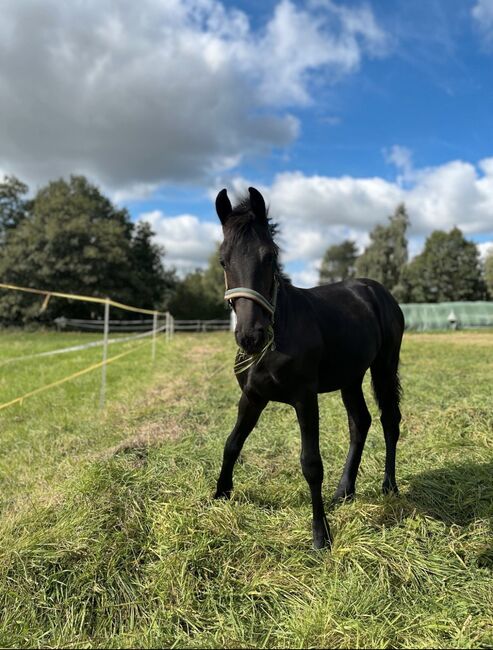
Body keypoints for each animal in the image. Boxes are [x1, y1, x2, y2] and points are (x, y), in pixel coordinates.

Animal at [213, 187, 402, 548]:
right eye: (222, 260)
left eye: (270, 256)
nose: (251, 337)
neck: (280, 332)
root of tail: (376, 290)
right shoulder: (252, 397)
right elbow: (232, 443)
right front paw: (219, 495)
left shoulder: (305, 398)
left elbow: (311, 463)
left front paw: (320, 535)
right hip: (351, 377)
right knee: (360, 422)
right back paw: (344, 491)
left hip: (384, 366)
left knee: (390, 420)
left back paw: (389, 486)